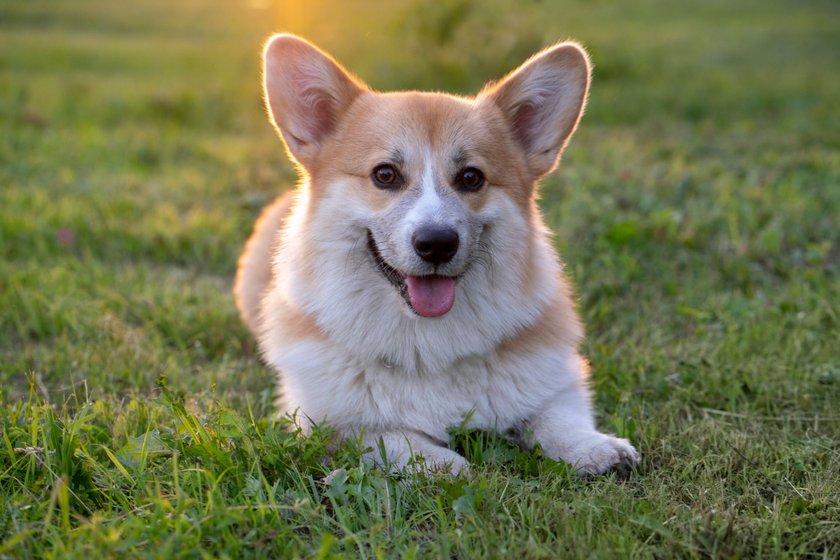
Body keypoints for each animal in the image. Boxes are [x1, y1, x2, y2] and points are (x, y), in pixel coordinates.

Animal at [233, 32, 640, 474]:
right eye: (385, 174)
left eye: (471, 177)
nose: (437, 244)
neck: (426, 343)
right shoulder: (327, 422)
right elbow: (393, 438)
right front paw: (448, 465)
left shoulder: (556, 381)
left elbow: (555, 417)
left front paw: (595, 447)